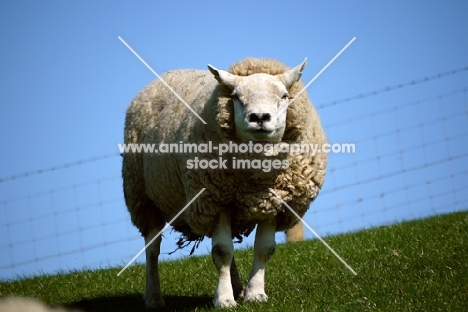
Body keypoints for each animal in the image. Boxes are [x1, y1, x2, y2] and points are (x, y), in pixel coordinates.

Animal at [120, 57, 328, 308]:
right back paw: (153, 297)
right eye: (236, 97)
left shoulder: (272, 202)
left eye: (284, 95)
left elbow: (263, 249)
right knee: (152, 248)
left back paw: (238, 288)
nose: (259, 117)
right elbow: (221, 251)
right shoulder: (214, 199)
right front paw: (224, 299)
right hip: (142, 197)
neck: (256, 179)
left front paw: (255, 294)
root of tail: (167, 74)